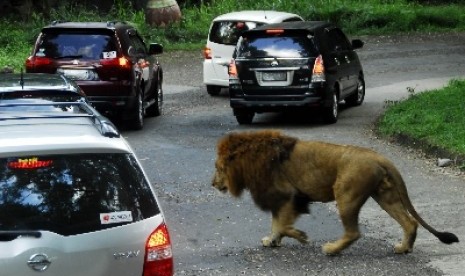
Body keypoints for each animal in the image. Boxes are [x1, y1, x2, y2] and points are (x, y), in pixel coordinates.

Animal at [212, 129, 458, 254]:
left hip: (346, 194)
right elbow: (276, 223)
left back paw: (331, 249)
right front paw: (272, 240)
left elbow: (281, 224)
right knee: (410, 222)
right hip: (385, 196)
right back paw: (403, 248)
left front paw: (300, 236)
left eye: (218, 168)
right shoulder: (281, 199)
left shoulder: (287, 195)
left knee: (354, 233)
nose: (212, 184)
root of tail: (381, 157)